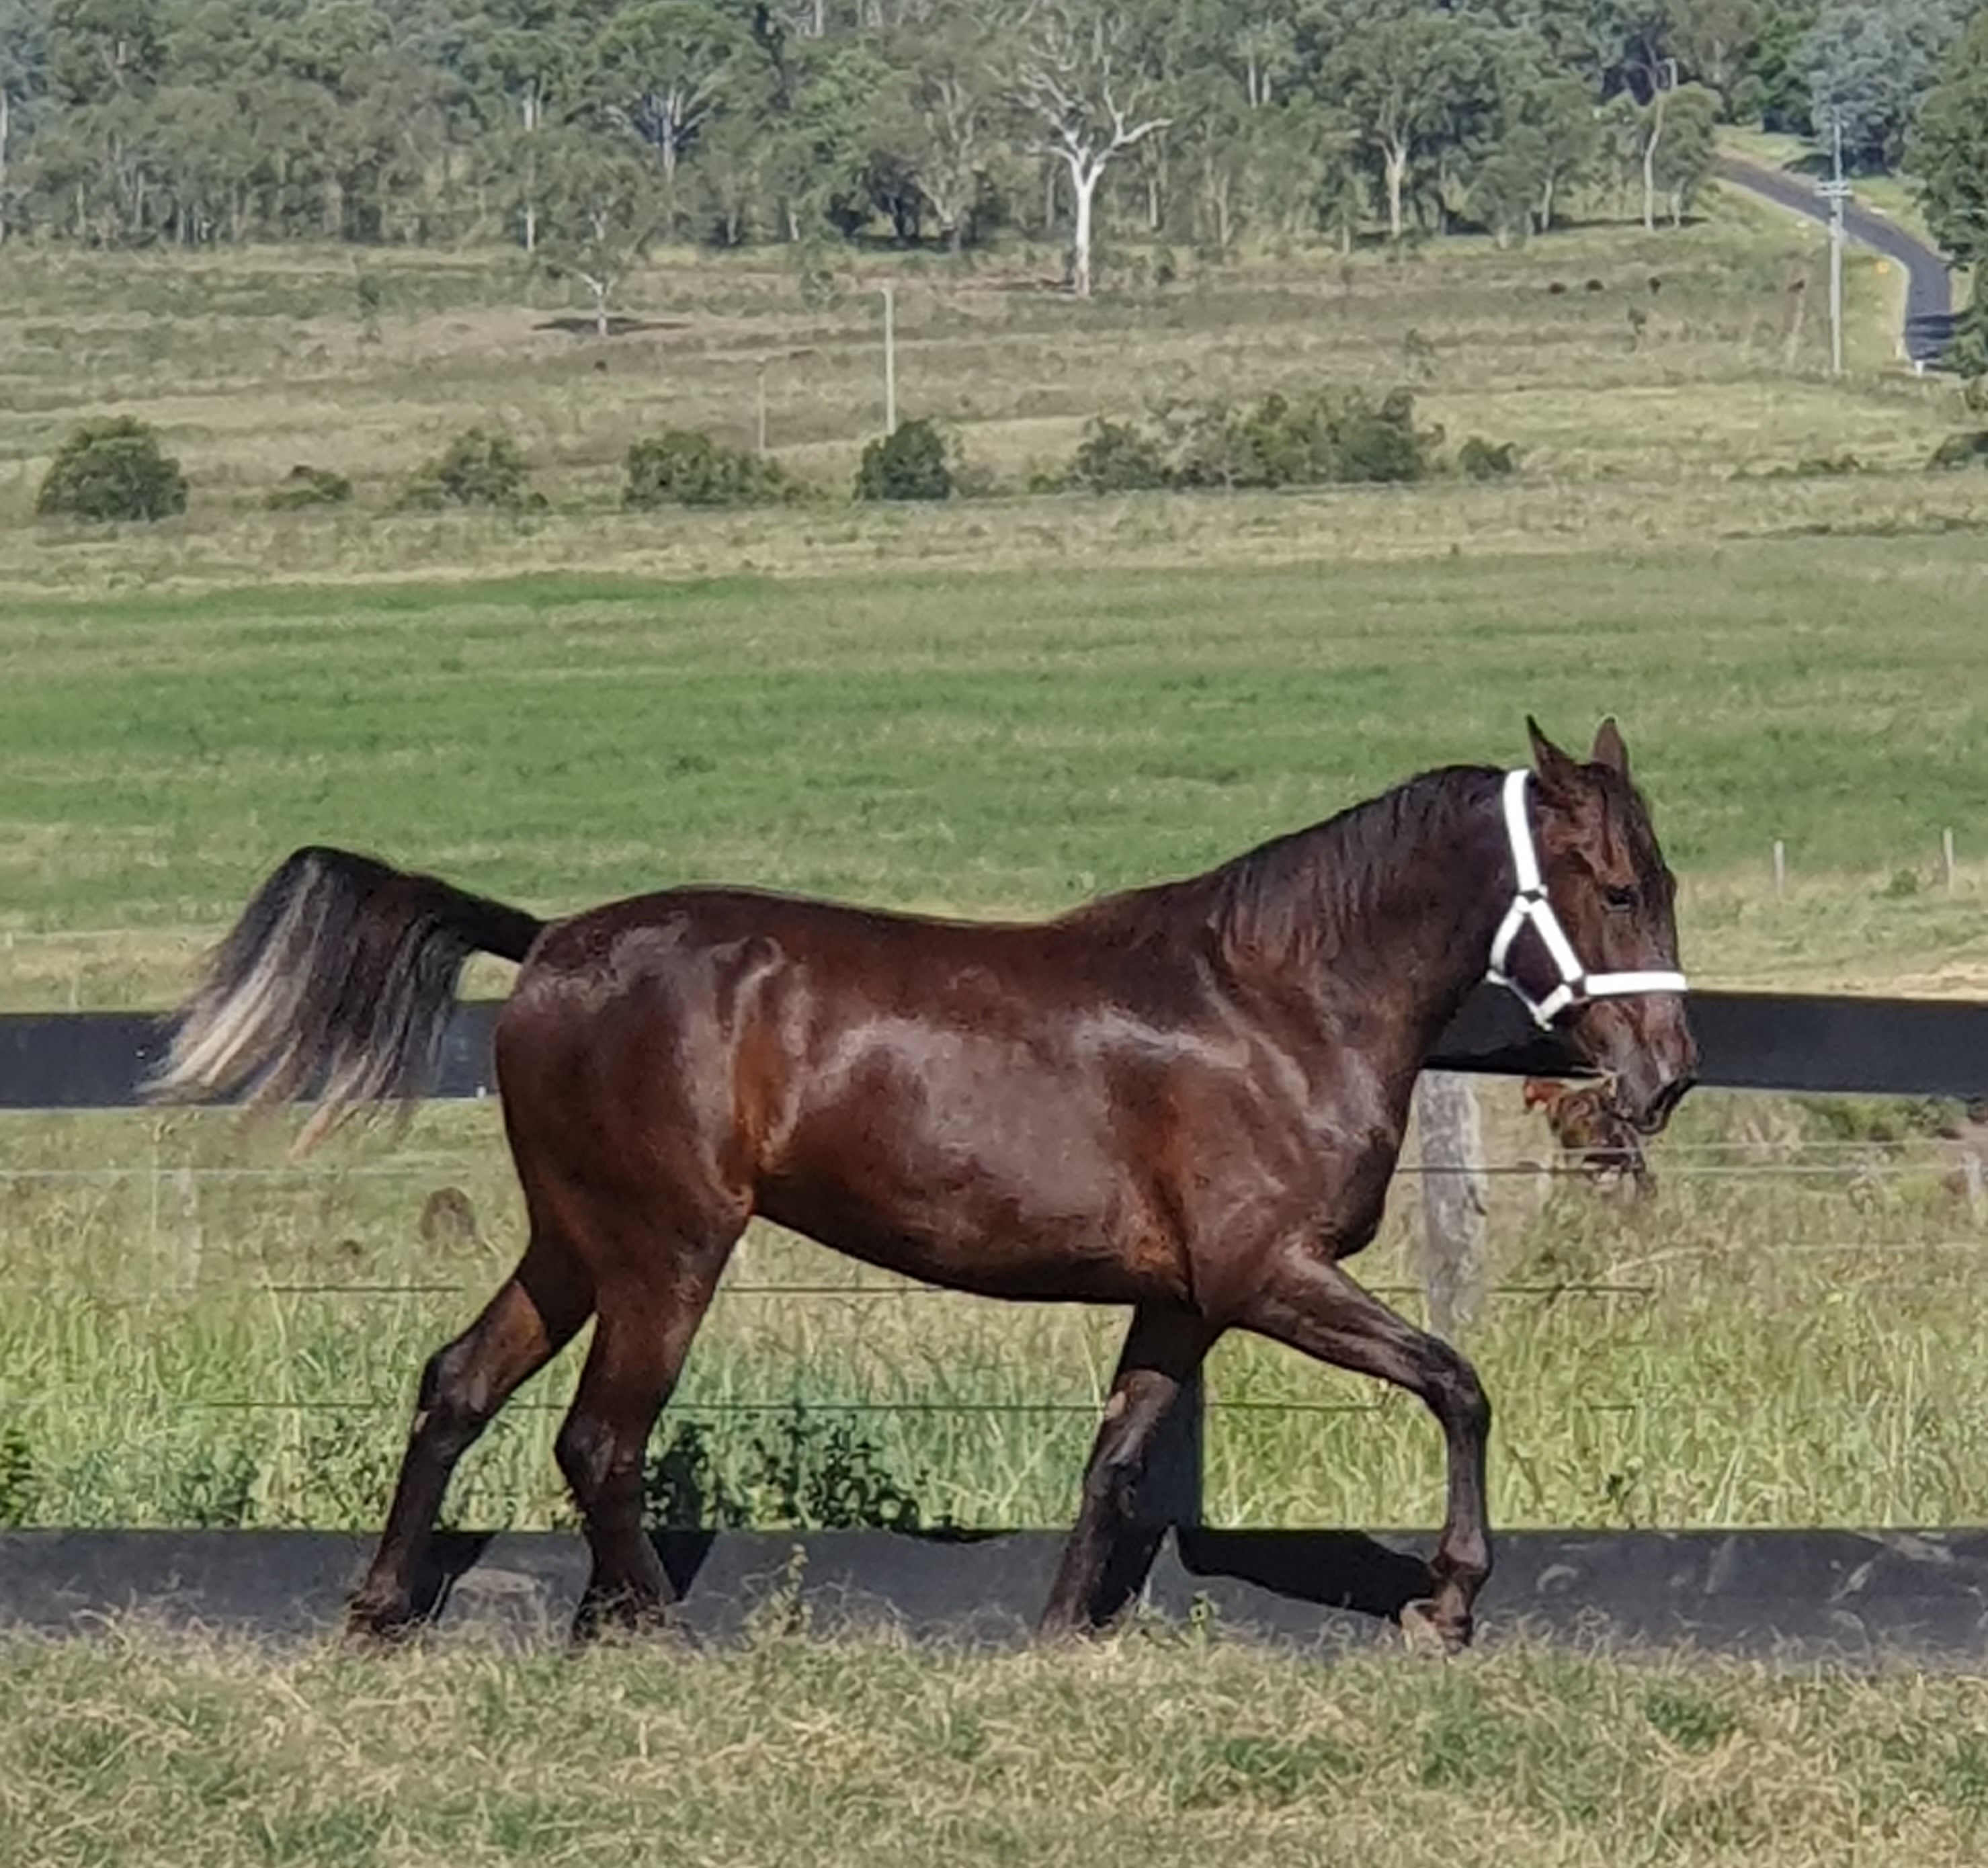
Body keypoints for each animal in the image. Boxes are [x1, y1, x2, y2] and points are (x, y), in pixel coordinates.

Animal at [150, 717, 1695, 1653]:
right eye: (1617, 887)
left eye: (1662, 880)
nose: (1669, 1073)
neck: (1276, 1001)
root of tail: (550, 947)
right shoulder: (1272, 1275)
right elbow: (1457, 1383)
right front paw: (1447, 1599)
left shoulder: (1185, 1299)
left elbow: (1116, 1456)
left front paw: (1060, 1631)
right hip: (665, 1249)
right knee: (599, 1440)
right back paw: (658, 1630)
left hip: (576, 1242)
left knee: (458, 1384)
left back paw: (383, 1605)